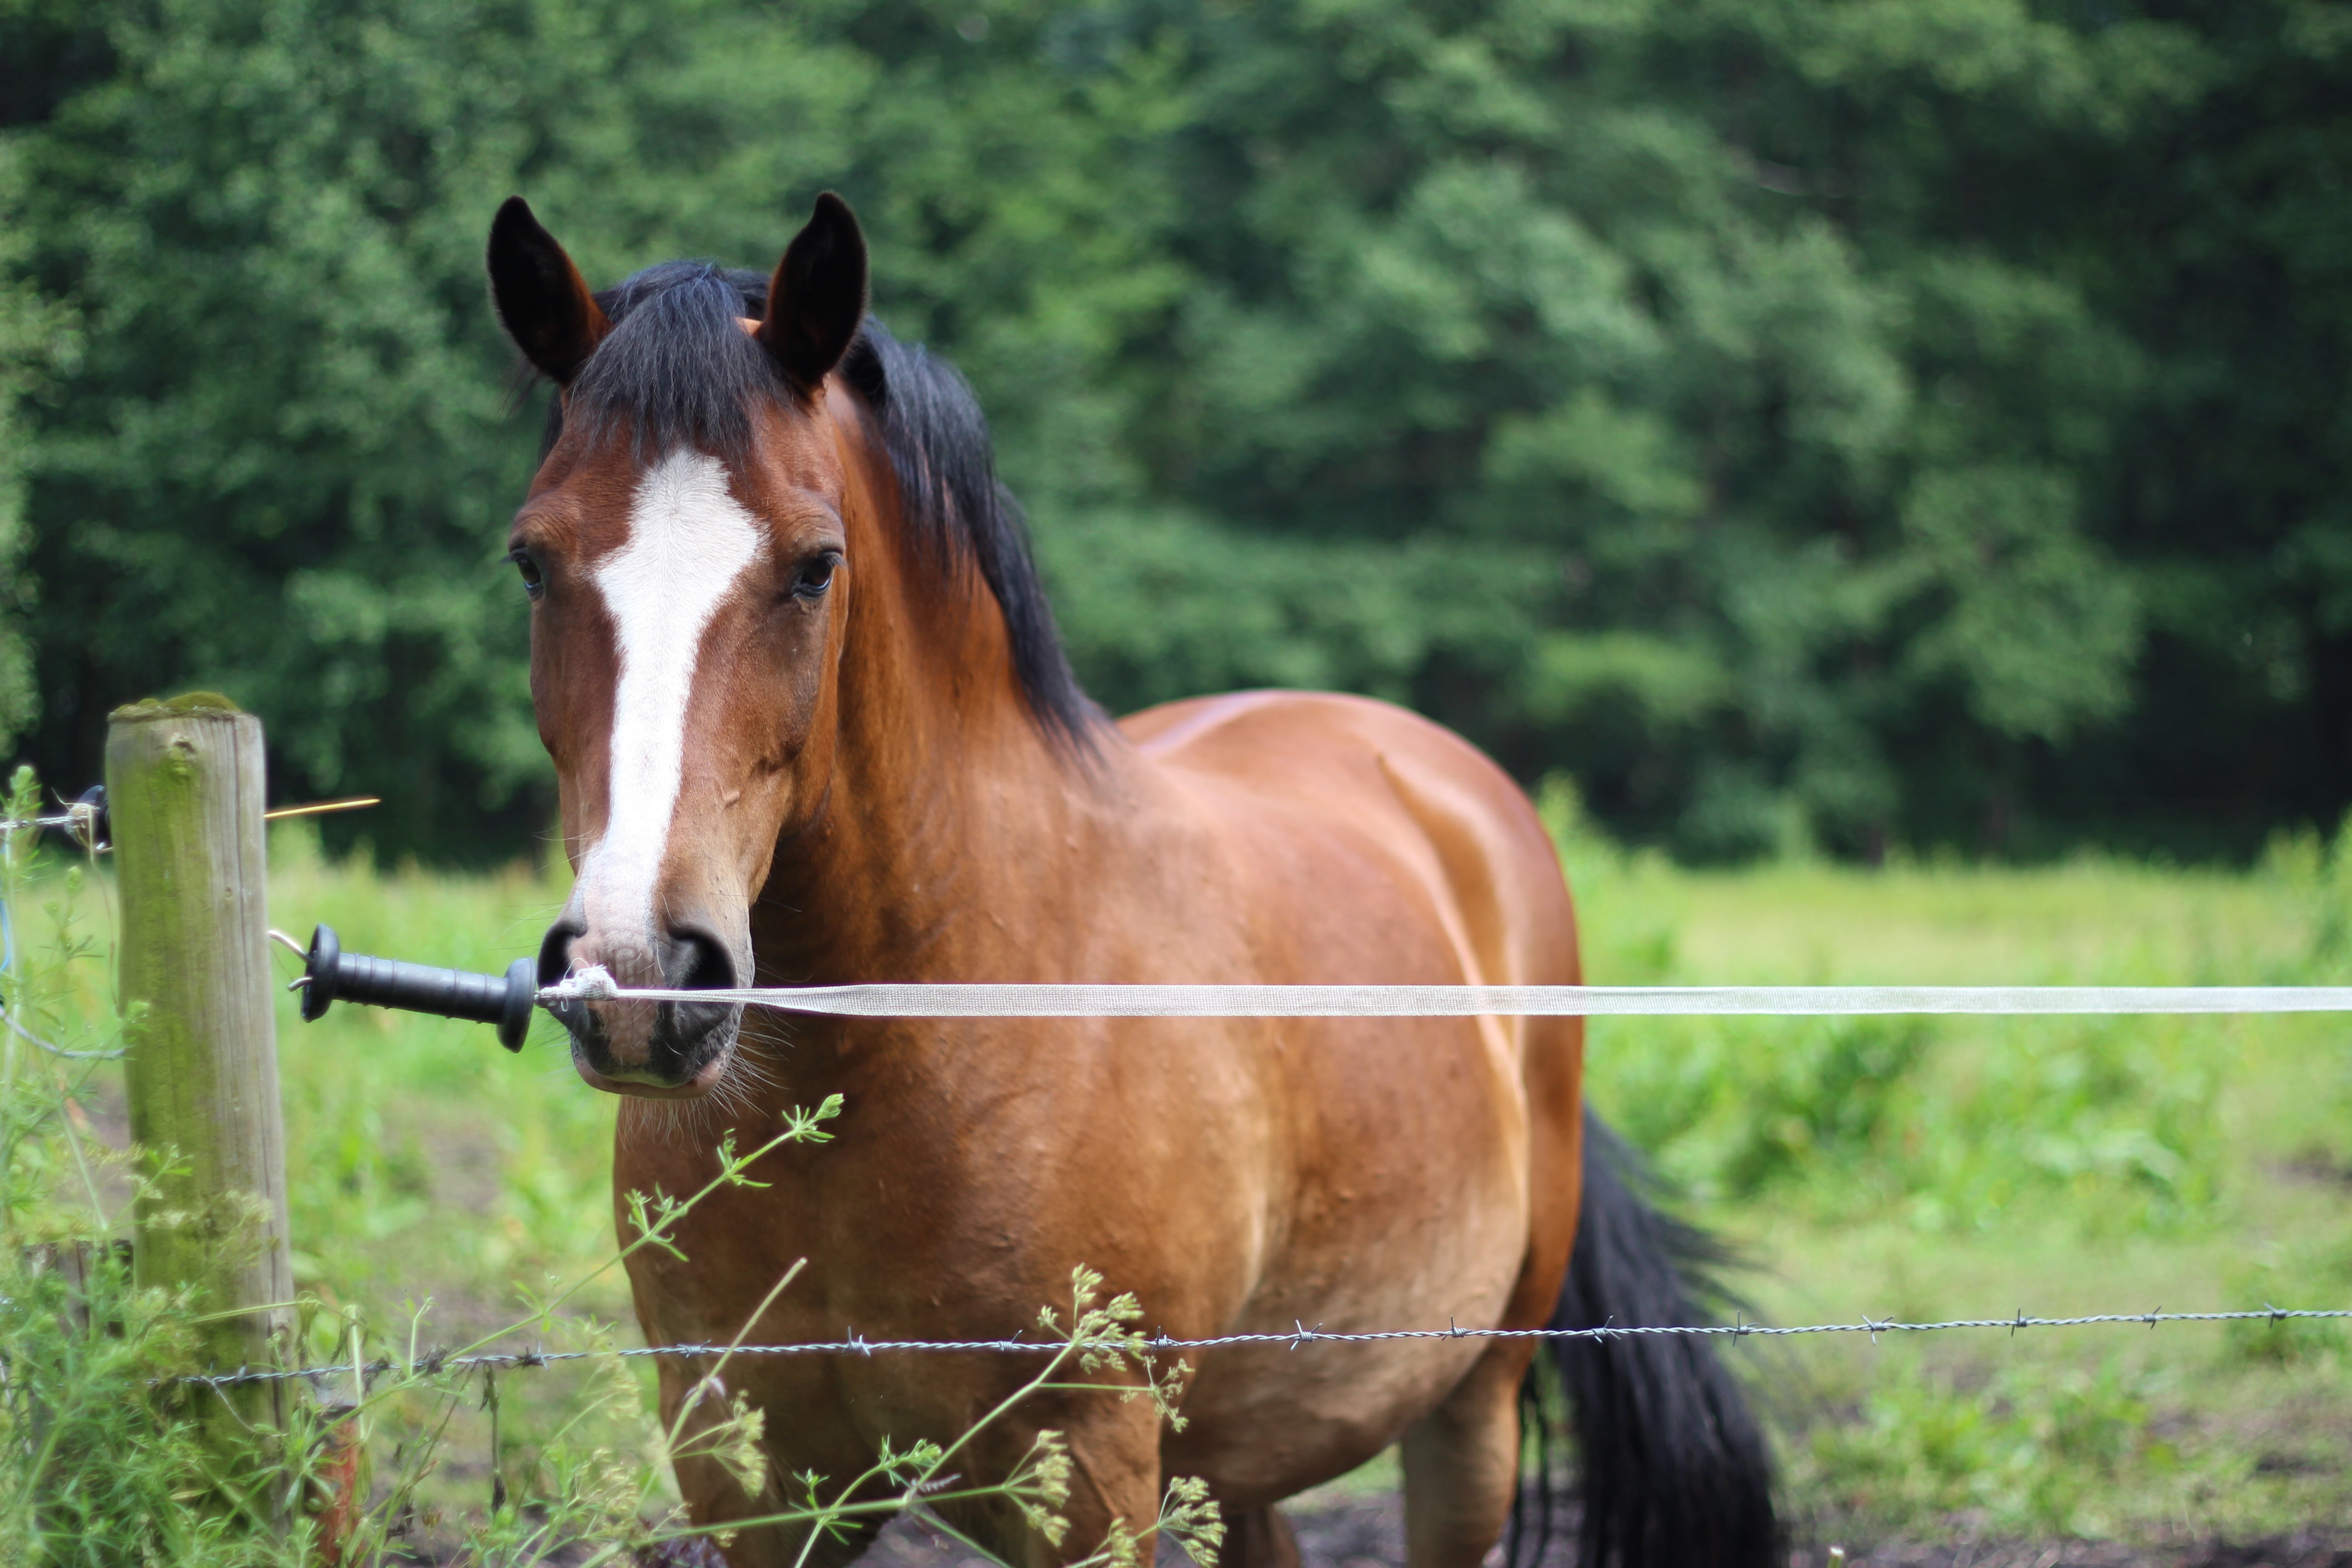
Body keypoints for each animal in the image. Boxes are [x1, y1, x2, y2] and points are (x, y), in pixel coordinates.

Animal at [485, 191, 1775, 1568]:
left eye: (814, 564)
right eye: (533, 562)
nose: (639, 973)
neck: (917, 1032)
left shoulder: (1092, 1483)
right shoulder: (752, 1481)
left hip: (1468, 1407)